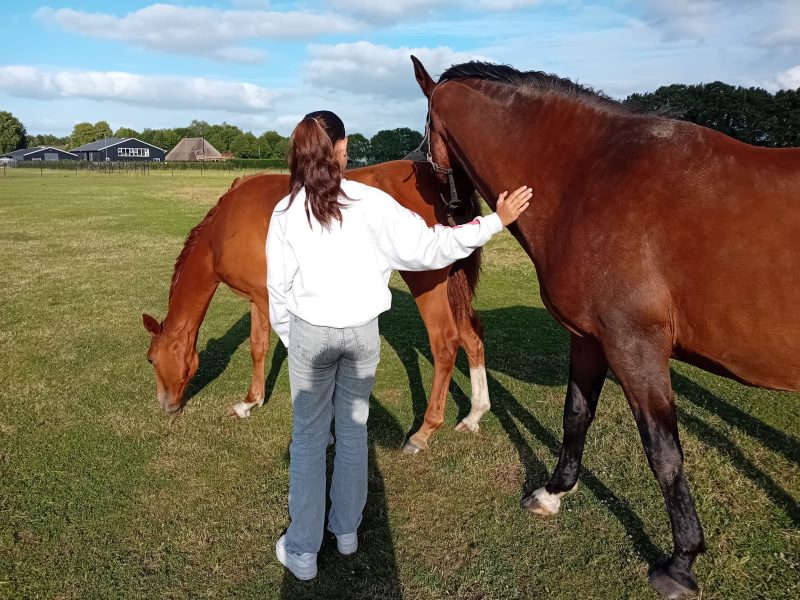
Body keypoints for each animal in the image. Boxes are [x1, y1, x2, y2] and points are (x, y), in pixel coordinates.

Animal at [142, 160, 492, 453]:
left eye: (150, 359)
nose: (166, 405)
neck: (227, 225)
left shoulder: (267, 299)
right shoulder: (258, 296)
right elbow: (258, 347)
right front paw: (250, 403)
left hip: (427, 280)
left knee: (445, 343)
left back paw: (423, 432)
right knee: (471, 336)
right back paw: (474, 415)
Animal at [411, 57, 800, 598]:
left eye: (425, 134)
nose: (449, 211)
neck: (589, 178)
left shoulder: (633, 346)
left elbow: (663, 451)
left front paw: (681, 562)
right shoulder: (590, 339)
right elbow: (576, 414)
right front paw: (552, 492)